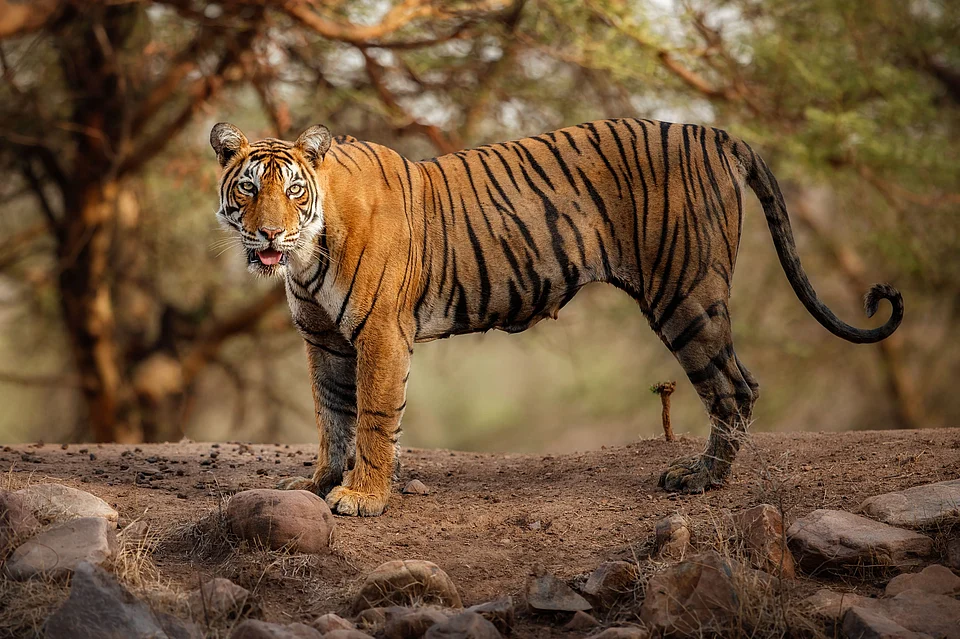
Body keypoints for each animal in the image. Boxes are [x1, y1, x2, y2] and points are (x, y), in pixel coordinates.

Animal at [210, 118, 903, 516]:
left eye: (292, 189)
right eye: (249, 188)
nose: (268, 233)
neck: (305, 255)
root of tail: (717, 134)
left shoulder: (380, 332)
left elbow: (374, 418)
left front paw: (362, 497)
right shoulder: (323, 339)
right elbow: (333, 416)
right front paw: (322, 483)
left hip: (686, 294)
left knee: (735, 388)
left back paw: (699, 479)